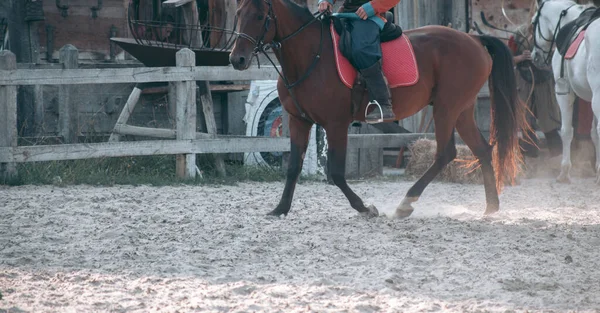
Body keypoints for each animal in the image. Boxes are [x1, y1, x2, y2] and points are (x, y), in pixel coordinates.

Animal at [230, 0, 524, 217]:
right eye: (239, 14)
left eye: (260, 16)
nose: (237, 59)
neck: (312, 54)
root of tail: (474, 40)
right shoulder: (298, 121)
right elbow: (293, 167)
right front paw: (280, 209)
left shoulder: (336, 124)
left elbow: (336, 173)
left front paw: (364, 208)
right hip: (461, 110)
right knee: (482, 149)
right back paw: (491, 207)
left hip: (446, 108)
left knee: (445, 153)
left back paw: (406, 203)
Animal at [528, 0, 600, 183]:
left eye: (533, 22)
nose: (535, 56)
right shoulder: (591, 97)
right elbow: (594, 135)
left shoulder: (563, 91)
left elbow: (567, 131)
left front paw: (564, 171)